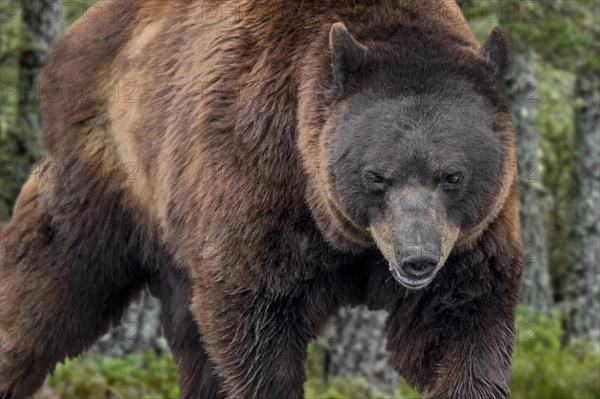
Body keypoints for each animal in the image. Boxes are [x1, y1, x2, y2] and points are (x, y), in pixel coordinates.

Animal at [0, 0, 524, 398]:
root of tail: (78, 32)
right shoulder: (258, 180)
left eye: (452, 176)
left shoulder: (470, 238)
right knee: (49, 284)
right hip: (111, 176)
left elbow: (461, 324)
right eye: (377, 176)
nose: (417, 258)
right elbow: (254, 325)